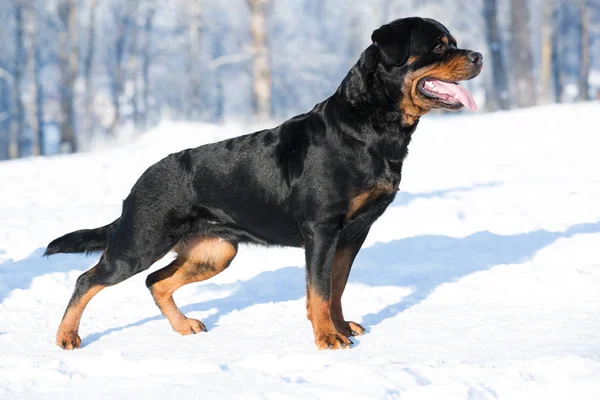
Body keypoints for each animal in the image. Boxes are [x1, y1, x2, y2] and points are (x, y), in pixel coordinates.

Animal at [47, 18, 482, 350]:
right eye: (439, 47)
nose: (478, 56)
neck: (369, 127)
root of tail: (137, 186)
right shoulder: (322, 229)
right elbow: (319, 290)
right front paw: (327, 338)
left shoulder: (354, 232)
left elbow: (337, 285)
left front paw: (341, 328)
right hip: (140, 242)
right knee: (89, 279)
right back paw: (67, 336)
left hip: (216, 251)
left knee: (156, 281)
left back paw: (184, 326)